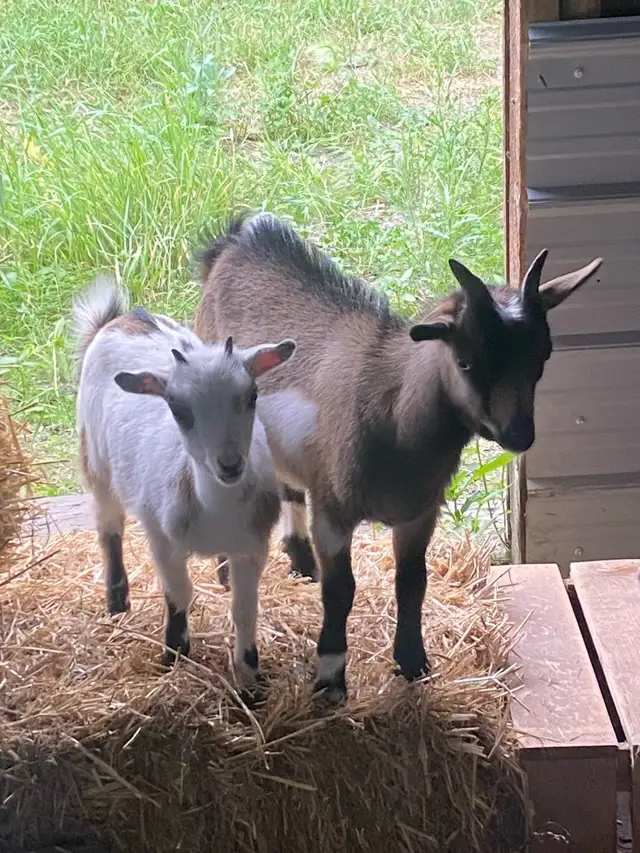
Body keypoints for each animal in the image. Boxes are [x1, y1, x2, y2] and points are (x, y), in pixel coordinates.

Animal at [73, 275, 296, 690]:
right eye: (178, 410)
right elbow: (179, 593)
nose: (230, 464)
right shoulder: (162, 538)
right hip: (94, 458)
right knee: (108, 525)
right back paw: (117, 601)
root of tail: (124, 317)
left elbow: (245, 609)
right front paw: (174, 655)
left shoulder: (254, 545)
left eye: (252, 395)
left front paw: (249, 677)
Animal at [194, 212, 602, 703]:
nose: (520, 434)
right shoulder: (333, 512)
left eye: (542, 355)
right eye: (465, 361)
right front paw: (330, 679)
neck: (394, 418)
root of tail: (233, 241)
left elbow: (412, 583)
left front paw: (413, 663)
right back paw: (226, 573)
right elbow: (342, 591)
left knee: (289, 485)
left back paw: (301, 563)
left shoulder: (418, 514)